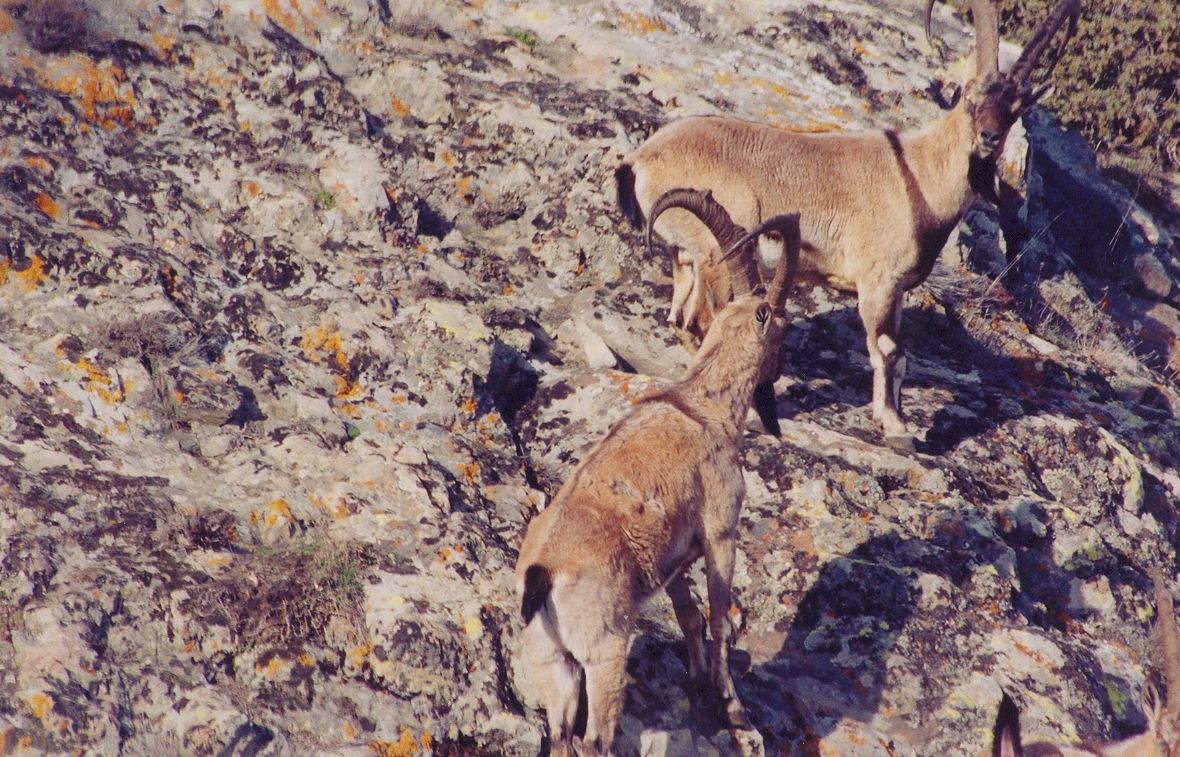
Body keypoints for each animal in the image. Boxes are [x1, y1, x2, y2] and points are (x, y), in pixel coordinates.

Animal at [516, 189, 802, 754]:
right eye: (780, 325)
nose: (779, 371)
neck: (702, 405)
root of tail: (544, 577)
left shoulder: (672, 558)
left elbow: (689, 615)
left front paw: (696, 681)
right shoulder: (719, 531)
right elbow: (718, 619)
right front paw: (738, 717)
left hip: (552, 665)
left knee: (559, 735)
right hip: (603, 656)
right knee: (596, 739)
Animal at [613, 0, 1080, 448]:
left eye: (1015, 109)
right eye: (968, 96)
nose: (987, 137)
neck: (918, 175)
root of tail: (639, 162)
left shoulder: (896, 289)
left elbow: (902, 357)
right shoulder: (877, 281)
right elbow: (886, 350)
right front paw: (896, 429)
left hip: (687, 258)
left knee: (680, 318)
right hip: (716, 256)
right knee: (700, 322)